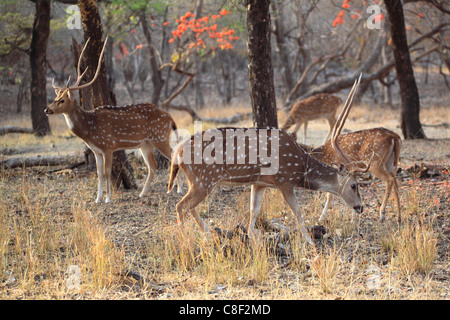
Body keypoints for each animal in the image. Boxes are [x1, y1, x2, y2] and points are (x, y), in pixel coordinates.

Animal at [44, 37, 181, 202]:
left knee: (174, 157)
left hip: (159, 137)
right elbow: (99, 173)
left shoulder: (108, 146)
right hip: (145, 144)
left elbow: (107, 172)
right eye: (56, 98)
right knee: (153, 166)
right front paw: (97, 199)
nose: (47, 110)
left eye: (62, 100)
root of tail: (170, 117)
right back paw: (142, 193)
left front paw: (108, 198)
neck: (89, 129)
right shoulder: (96, 151)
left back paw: (178, 190)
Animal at [168, 77, 366, 245]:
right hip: (204, 180)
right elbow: (297, 210)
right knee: (181, 206)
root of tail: (178, 151)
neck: (301, 167)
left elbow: (253, 210)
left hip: (198, 181)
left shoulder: (259, 183)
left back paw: (208, 232)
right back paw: (185, 240)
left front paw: (250, 237)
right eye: (354, 185)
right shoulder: (285, 180)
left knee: (189, 207)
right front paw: (309, 241)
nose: (360, 207)